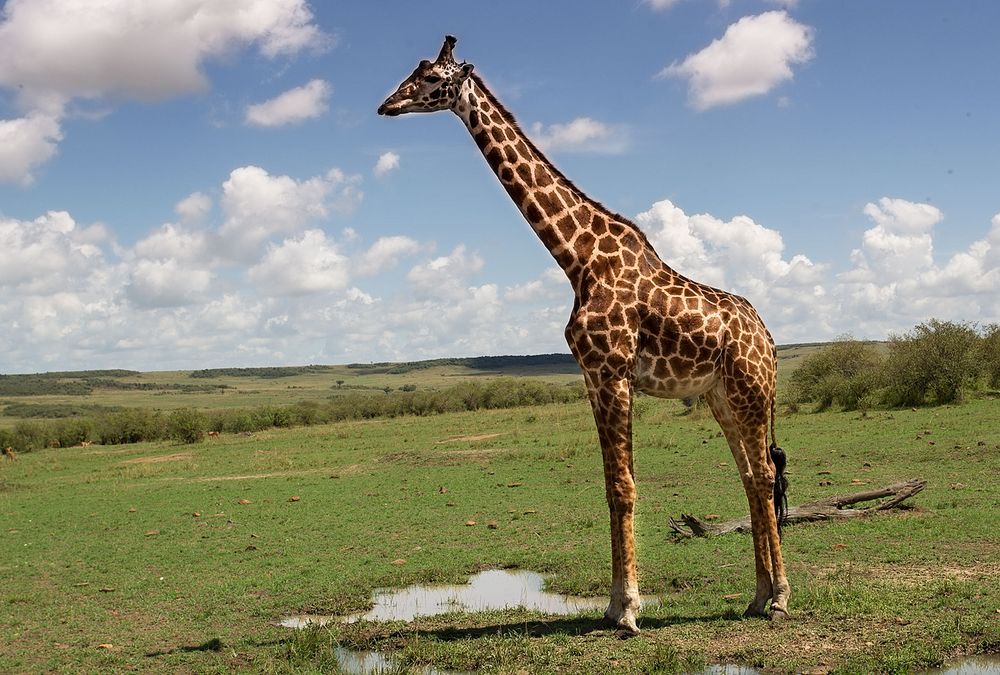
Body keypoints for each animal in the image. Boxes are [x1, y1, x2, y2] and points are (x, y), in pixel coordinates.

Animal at [379, 36, 789, 634]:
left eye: (431, 78)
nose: (387, 105)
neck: (578, 259)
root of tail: (772, 342)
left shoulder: (613, 371)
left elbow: (624, 487)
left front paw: (629, 610)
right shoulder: (593, 378)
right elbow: (611, 487)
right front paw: (615, 605)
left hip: (750, 392)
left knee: (761, 474)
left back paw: (780, 597)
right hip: (720, 397)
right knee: (749, 477)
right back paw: (757, 596)